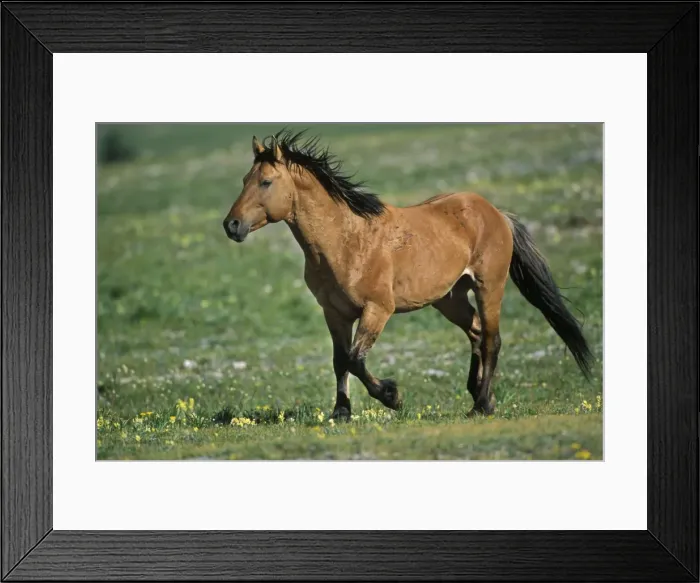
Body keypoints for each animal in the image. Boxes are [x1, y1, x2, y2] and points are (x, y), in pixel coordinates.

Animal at [223, 130, 593, 420]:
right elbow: (340, 360)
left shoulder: (377, 310)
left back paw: (482, 406)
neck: (346, 242)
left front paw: (392, 396)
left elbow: (356, 359)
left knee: (491, 339)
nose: (231, 225)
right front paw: (341, 412)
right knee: (475, 332)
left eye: (266, 182)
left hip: (489, 285)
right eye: (243, 180)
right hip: (449, 298)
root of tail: (496, 213)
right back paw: (475, 393)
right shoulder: (334, 313)